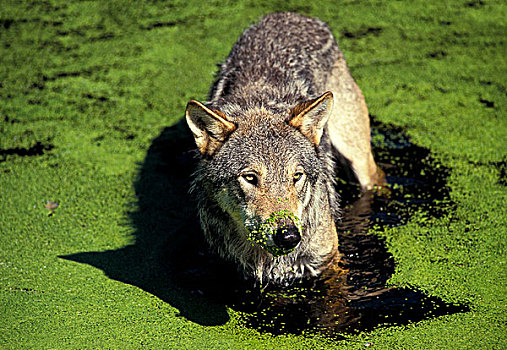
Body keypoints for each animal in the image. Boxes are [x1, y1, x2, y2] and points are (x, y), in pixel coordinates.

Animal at [186, 12, 384, 286]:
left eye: (296, 176)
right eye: (250, 178)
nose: (289, 236)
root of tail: (289, 14)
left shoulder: (329, 265)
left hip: (358, 160)